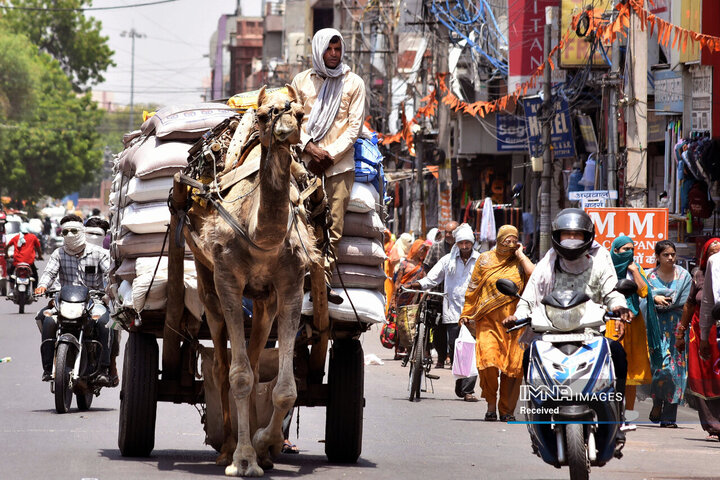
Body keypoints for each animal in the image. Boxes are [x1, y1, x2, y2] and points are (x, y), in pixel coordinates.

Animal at [184, 86, 320, 476]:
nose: (286, 130)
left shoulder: (291, 287)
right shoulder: (228, 282)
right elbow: (239, 377)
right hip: (206, 277)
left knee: (257, 358)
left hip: (263, 301)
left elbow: (286, 387)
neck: (261, 237)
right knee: (221, 364)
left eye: (301, 114)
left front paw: (262, 444)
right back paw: (226, 448)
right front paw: (243, 460)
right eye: (261, 115)